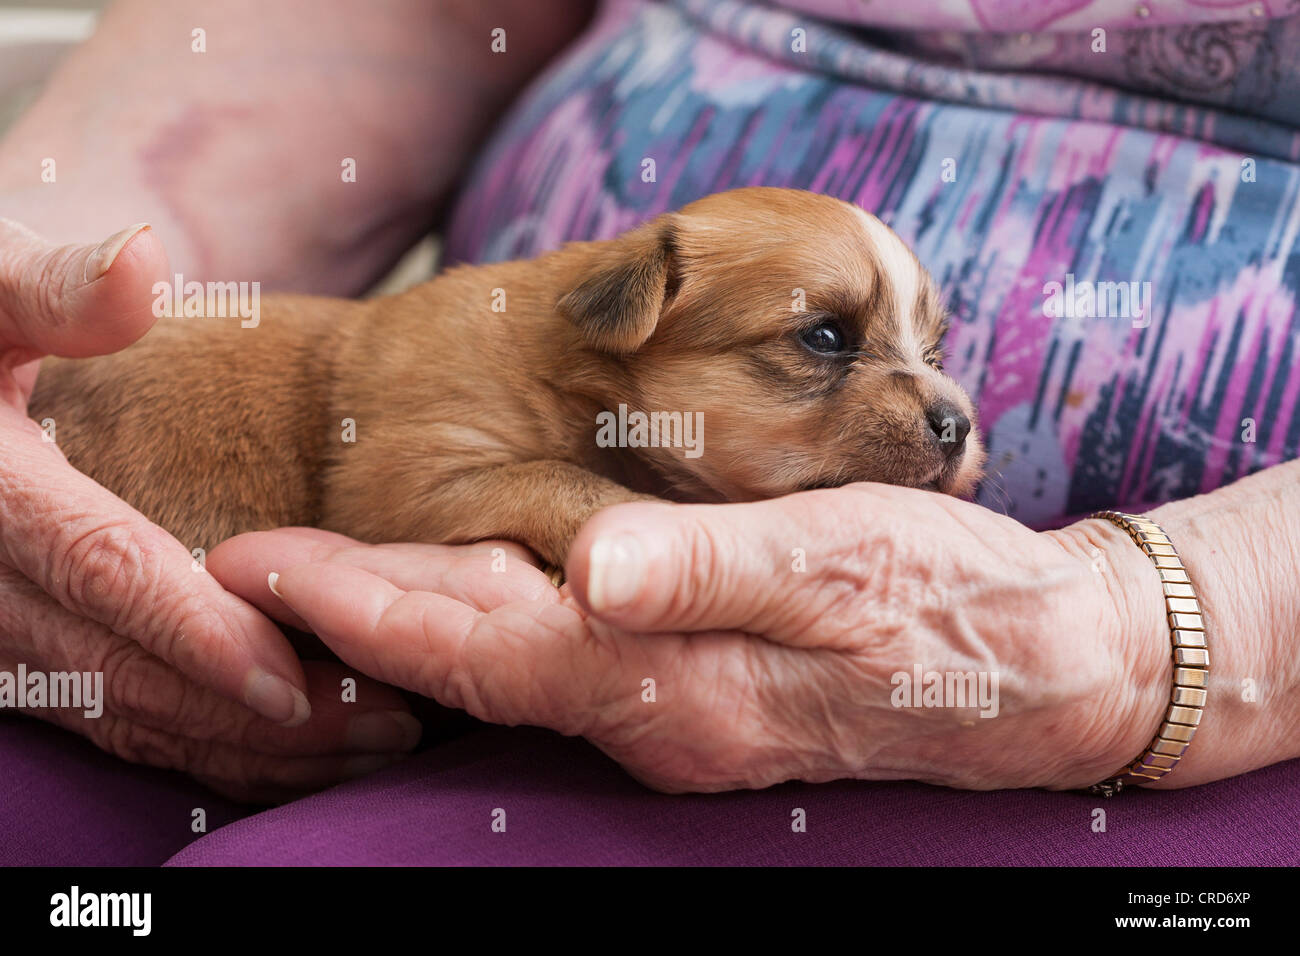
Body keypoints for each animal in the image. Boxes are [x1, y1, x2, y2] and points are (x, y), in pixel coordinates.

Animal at [27, 191, 982, 572]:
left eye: (936, 353)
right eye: (824, 337)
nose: (958, 425)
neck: (585, 383)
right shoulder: (401, 477)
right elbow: (549, 475)